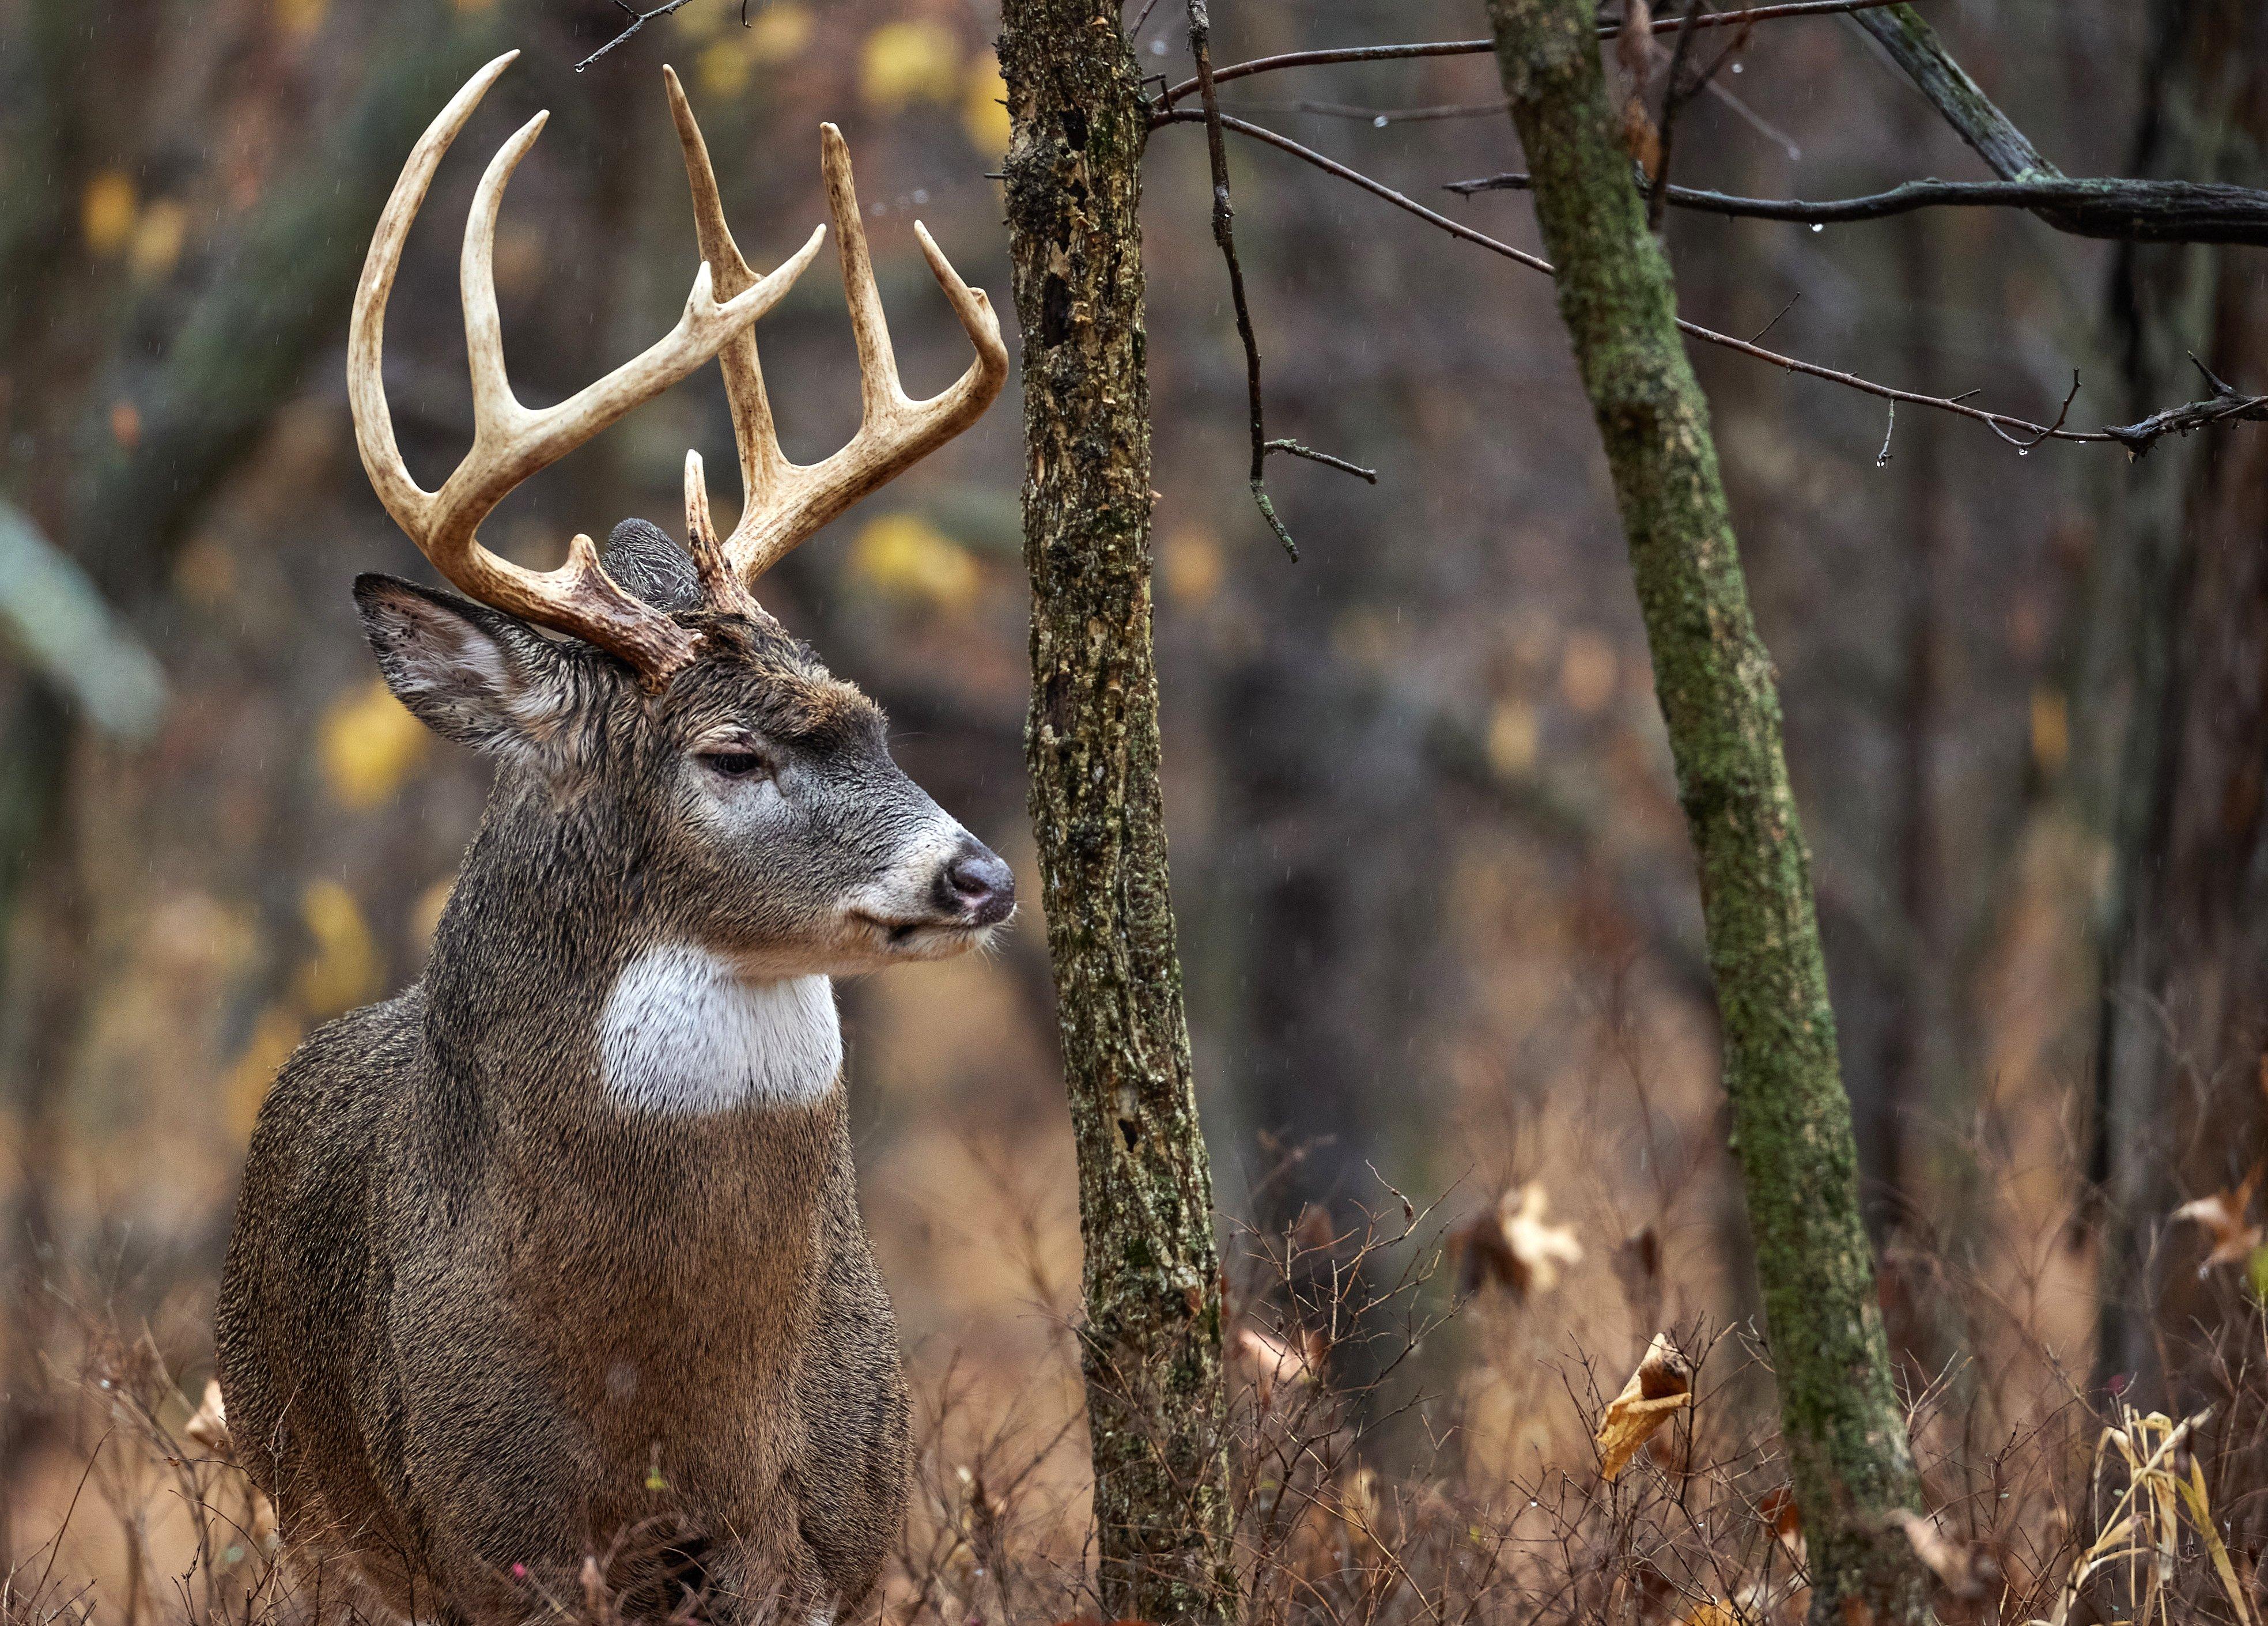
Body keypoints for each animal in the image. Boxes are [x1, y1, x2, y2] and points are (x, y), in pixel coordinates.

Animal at [214, 54, 1011, 1624]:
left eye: (876, 718)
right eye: (732, 754)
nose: (980, 875)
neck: (670, 1398)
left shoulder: (833, 1532)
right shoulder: (490, 1532)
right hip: (309, 1510)